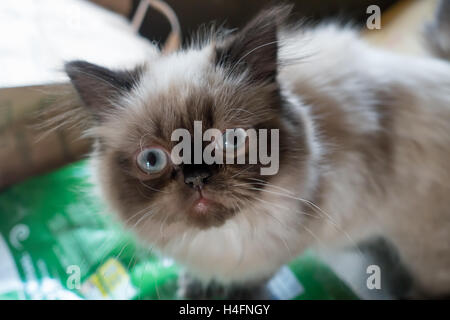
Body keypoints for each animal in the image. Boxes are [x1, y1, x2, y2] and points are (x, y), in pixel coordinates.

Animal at [63, 2, 450, 298]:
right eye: (152, 159)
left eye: (231, 140)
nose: (196, 178)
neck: (224, 238)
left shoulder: (283, 244)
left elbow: (251, 279)